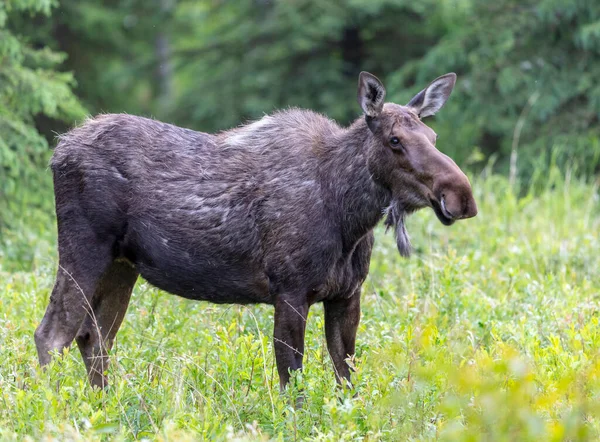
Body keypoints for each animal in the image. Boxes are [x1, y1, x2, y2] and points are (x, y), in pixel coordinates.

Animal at [36, 71, 478, 390]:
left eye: (433, 135)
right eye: (394, 139)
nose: (461, 196)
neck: (349, 215)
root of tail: (58, 150)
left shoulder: (347, 294)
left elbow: (346, 378)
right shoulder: (290, 290)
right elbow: (293, 382)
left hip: (122, 266)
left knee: (93, 337)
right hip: (83, 249)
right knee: (52, 334)